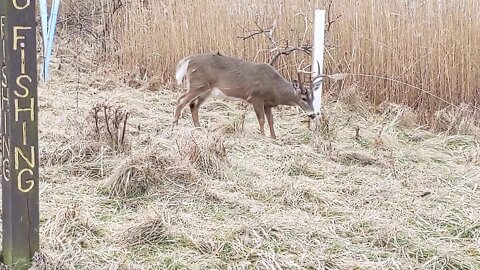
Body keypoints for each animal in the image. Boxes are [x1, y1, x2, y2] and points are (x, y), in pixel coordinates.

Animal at [172, 52, 322, 139]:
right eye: (303, 98)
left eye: (313, 98)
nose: (313, 114)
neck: (275, 88)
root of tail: (188, 60)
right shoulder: (256, 97)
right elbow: (261, 120)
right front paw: (262, 136)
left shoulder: (268, 104)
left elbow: (271, 121)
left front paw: (274, 138)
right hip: (199, 84)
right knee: (181, 100)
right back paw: (175, 125)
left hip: (206, 90)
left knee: (193, 105)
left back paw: (199, 129)